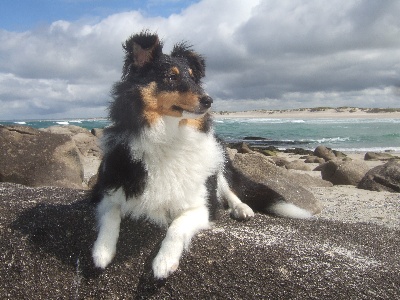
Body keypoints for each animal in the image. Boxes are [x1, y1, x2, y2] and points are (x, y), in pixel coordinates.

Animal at [91, 30, 312, 278]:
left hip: (218, 162)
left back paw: (242, 208)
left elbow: (177, 226)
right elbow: (111, 214)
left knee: (229, 190)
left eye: (193, 78)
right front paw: (102, 251)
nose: (209, 100)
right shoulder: (108, 189)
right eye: (171, 77)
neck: (169, 136)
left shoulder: (201, 206)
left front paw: (164, 261)